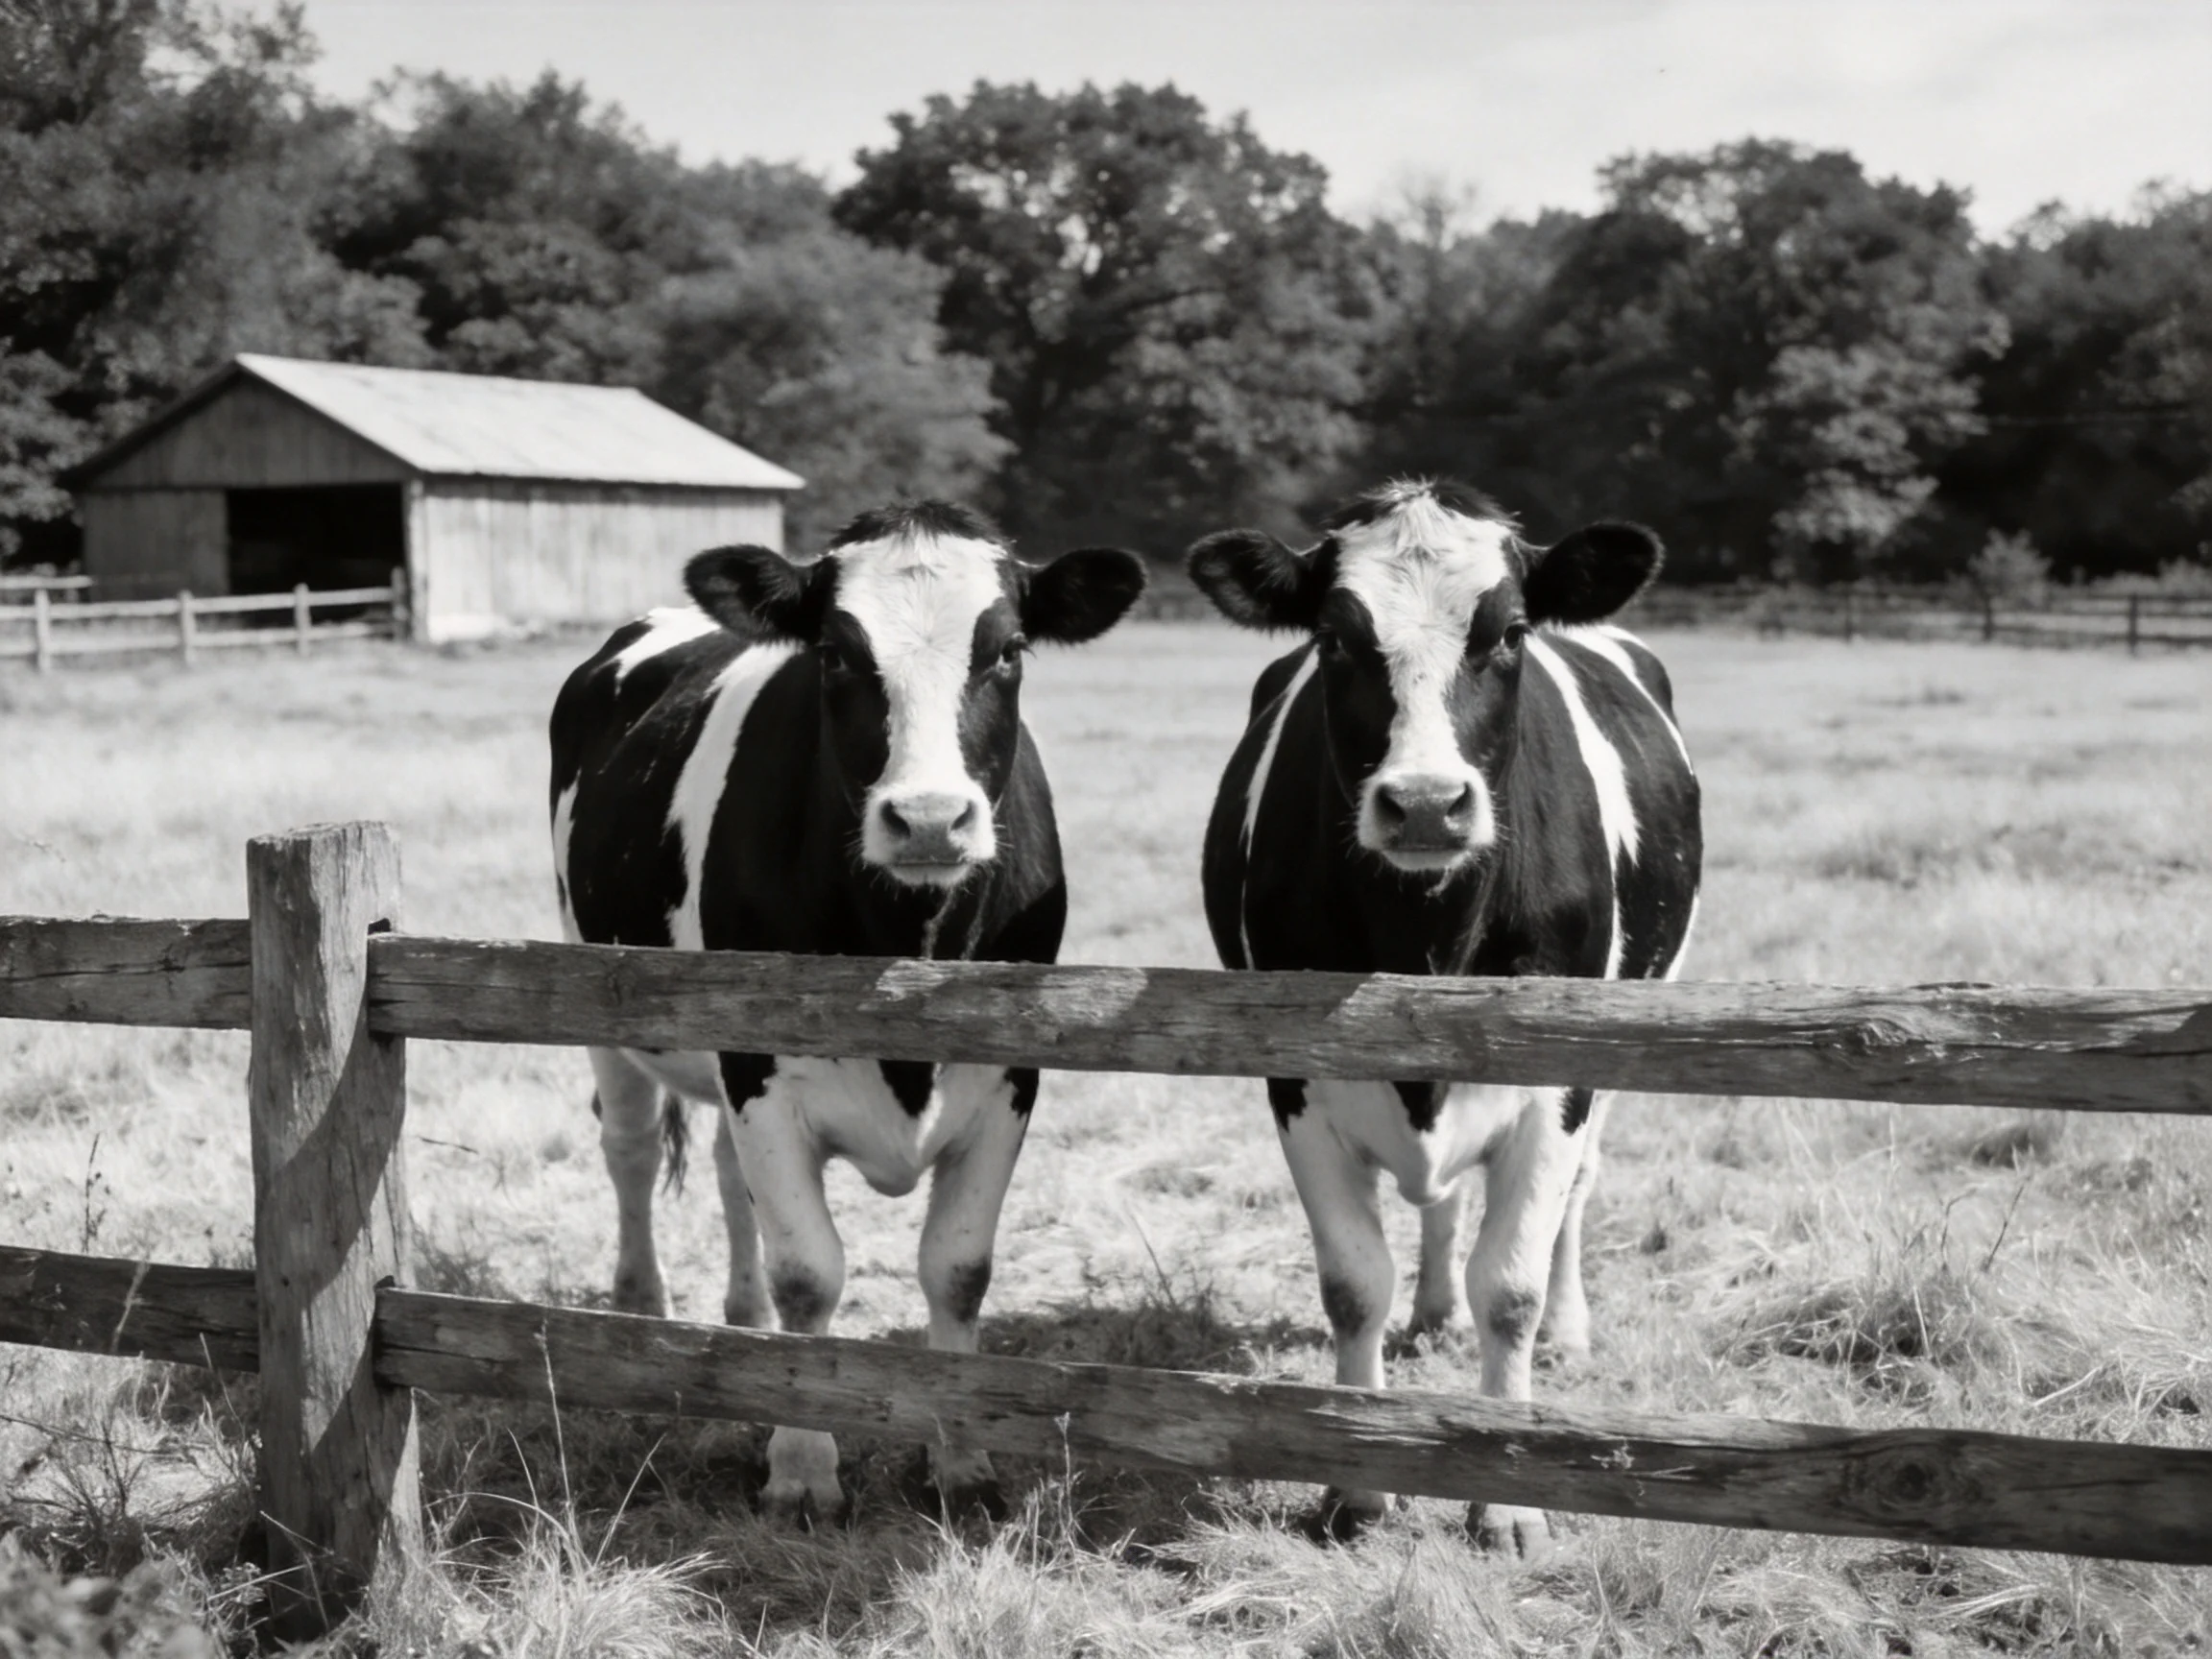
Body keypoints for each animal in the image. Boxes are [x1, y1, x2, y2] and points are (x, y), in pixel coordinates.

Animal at [549, 501, 1145, 1524]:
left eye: (1009, 649)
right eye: (833, 652)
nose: (931, 819)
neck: (907, 940)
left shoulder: (1010, 1073)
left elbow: (956, 1269)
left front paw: (962, 1461)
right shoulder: (757, 1062)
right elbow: (809, 1271)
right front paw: (801, 1467)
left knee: (724, 1178)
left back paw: (739, 1328)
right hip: (606, 1003)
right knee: (629, 1152)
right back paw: (641, 1319)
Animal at [1186, 479, 1700, 1555]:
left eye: (1507, 632)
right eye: (1336, 639)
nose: (1425, 805)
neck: (1426, 929)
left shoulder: (1559, 1075)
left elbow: (1509, 1289)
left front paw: (1504, 1499)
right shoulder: (1294, 1077)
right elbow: (1353, 1285)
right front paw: (1357, 1487)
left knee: (1573, 1199)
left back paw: (1569, 1330)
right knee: (1437, 1204)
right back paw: (1430, 1313)